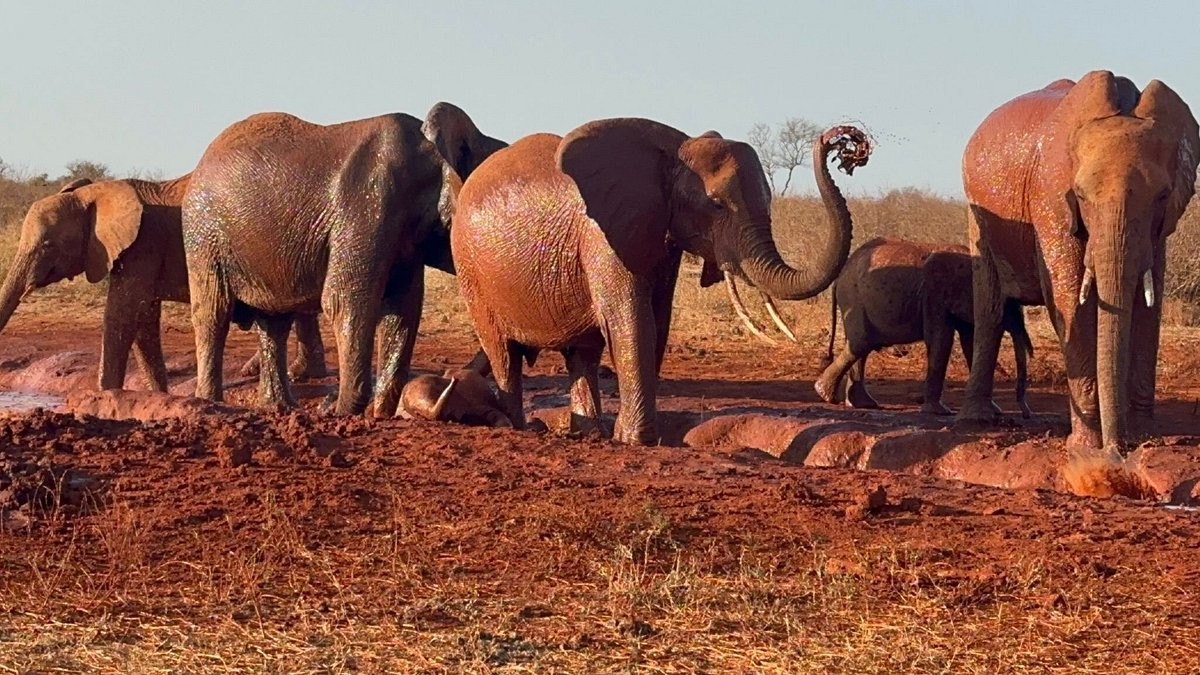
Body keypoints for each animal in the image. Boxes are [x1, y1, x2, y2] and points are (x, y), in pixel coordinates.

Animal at [0, 175, 325, 391]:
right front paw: (158, 395)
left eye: (46, 246)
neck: (96, 192)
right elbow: (143, 318)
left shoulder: (142, 246)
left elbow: (122, 314)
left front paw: (104, 396)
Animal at [182, 102, 504, 413]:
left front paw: (378, 414)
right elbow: (345, 302)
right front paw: (342, 412)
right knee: (213, 313)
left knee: (273, 322)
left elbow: (402, 312)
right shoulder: (367, 204)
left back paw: (280, 408)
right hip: (203, 235)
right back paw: (211, 402)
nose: (454, 377)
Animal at [452, 119, 871, 444]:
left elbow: (658, 320)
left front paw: (627, 437)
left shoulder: (660, 235)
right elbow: (630, 319)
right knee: (504, 354)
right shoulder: (601, 235)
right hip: (471, 271)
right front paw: (636, 440)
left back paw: (589, 435)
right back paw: (520, 427)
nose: (842, 140)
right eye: (716, 205)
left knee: (581, 355)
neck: (677, 149)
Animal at [813, 237, 1032, 417]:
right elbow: (941, 339)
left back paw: (861, 404)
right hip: (854, 298)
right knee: (861, 342)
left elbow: (970, 342)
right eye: (1007, 305)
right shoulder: (933, 295)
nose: (1026, 414)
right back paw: (825, 394)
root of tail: (839, 277)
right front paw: (940, 412)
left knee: (861, 346)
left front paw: (995, 410)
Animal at [959, 71, 1198, 451]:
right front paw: (1086, 448)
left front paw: (1144, 438)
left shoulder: (1158, 229)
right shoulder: (1051, 195)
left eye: (1162, 196)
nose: (1118, 449)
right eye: (1081, 196)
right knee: (990, 310)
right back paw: (979, 418)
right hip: (977, 213)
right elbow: (1070, 297)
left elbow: (1149, 304)